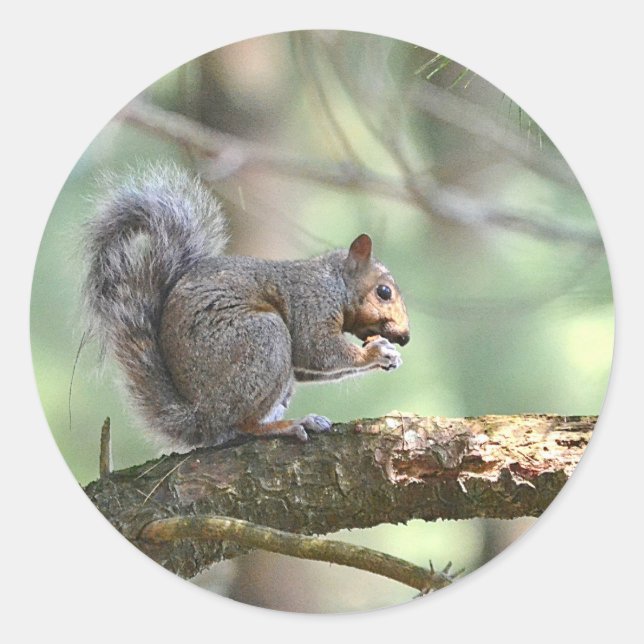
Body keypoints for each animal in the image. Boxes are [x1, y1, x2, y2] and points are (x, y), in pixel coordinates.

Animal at [81, 164, 410, 450]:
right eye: (384, 292)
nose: (405, 337)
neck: (335, 282)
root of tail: (203, 416)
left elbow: (308, 366)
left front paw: (389, 356)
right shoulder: (311, 303)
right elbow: (316, 349)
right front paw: (376, 353)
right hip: (264, 339)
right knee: (243, 425)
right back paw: (288, 425)